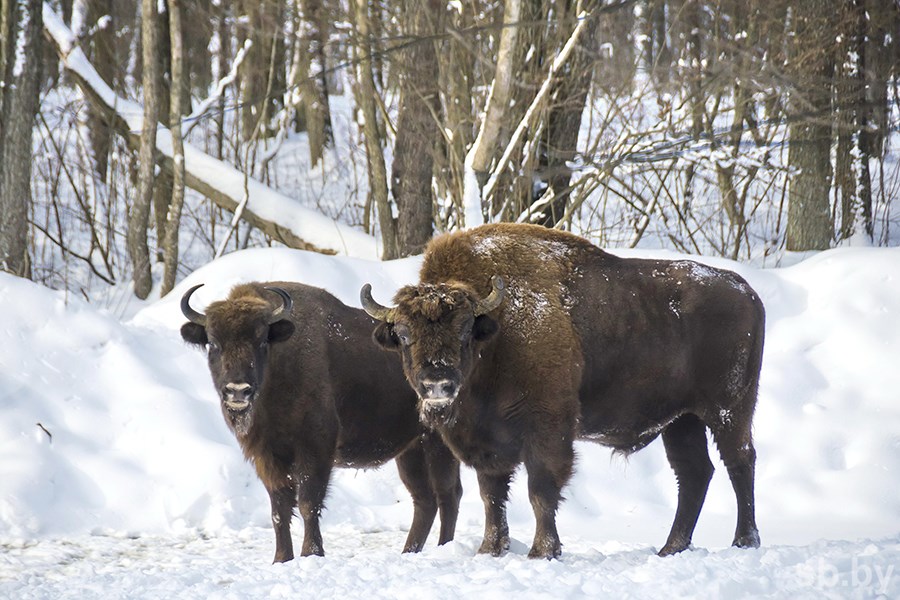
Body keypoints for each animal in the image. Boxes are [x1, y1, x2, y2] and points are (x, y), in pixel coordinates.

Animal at [183, 282, 464, 564]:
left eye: (261, 340)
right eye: (213, 343)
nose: (238, 390)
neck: (280, 364)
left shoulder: (315, 448)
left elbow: (308, 503)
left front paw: (311, 553)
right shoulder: (267, 457)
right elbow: (279, 511)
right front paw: (281, 559)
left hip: (438, 444)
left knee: (447, 494)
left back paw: (444, 547)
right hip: (410, 450)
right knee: (424, 499)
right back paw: (409, 551)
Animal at [362, 223, 764, 560]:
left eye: (464, 331)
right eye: (403, 335)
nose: (437, 384)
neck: (497, 333)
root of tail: (747, 292)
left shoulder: (547, 427)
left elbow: (541, 489)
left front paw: (543, 551)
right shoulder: (488, 443)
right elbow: (492, 494)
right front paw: (490, 549)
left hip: (729, 410)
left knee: (739, 462)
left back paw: (744, 541)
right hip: (682, 420)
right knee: (694, 473)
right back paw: (671, 549)